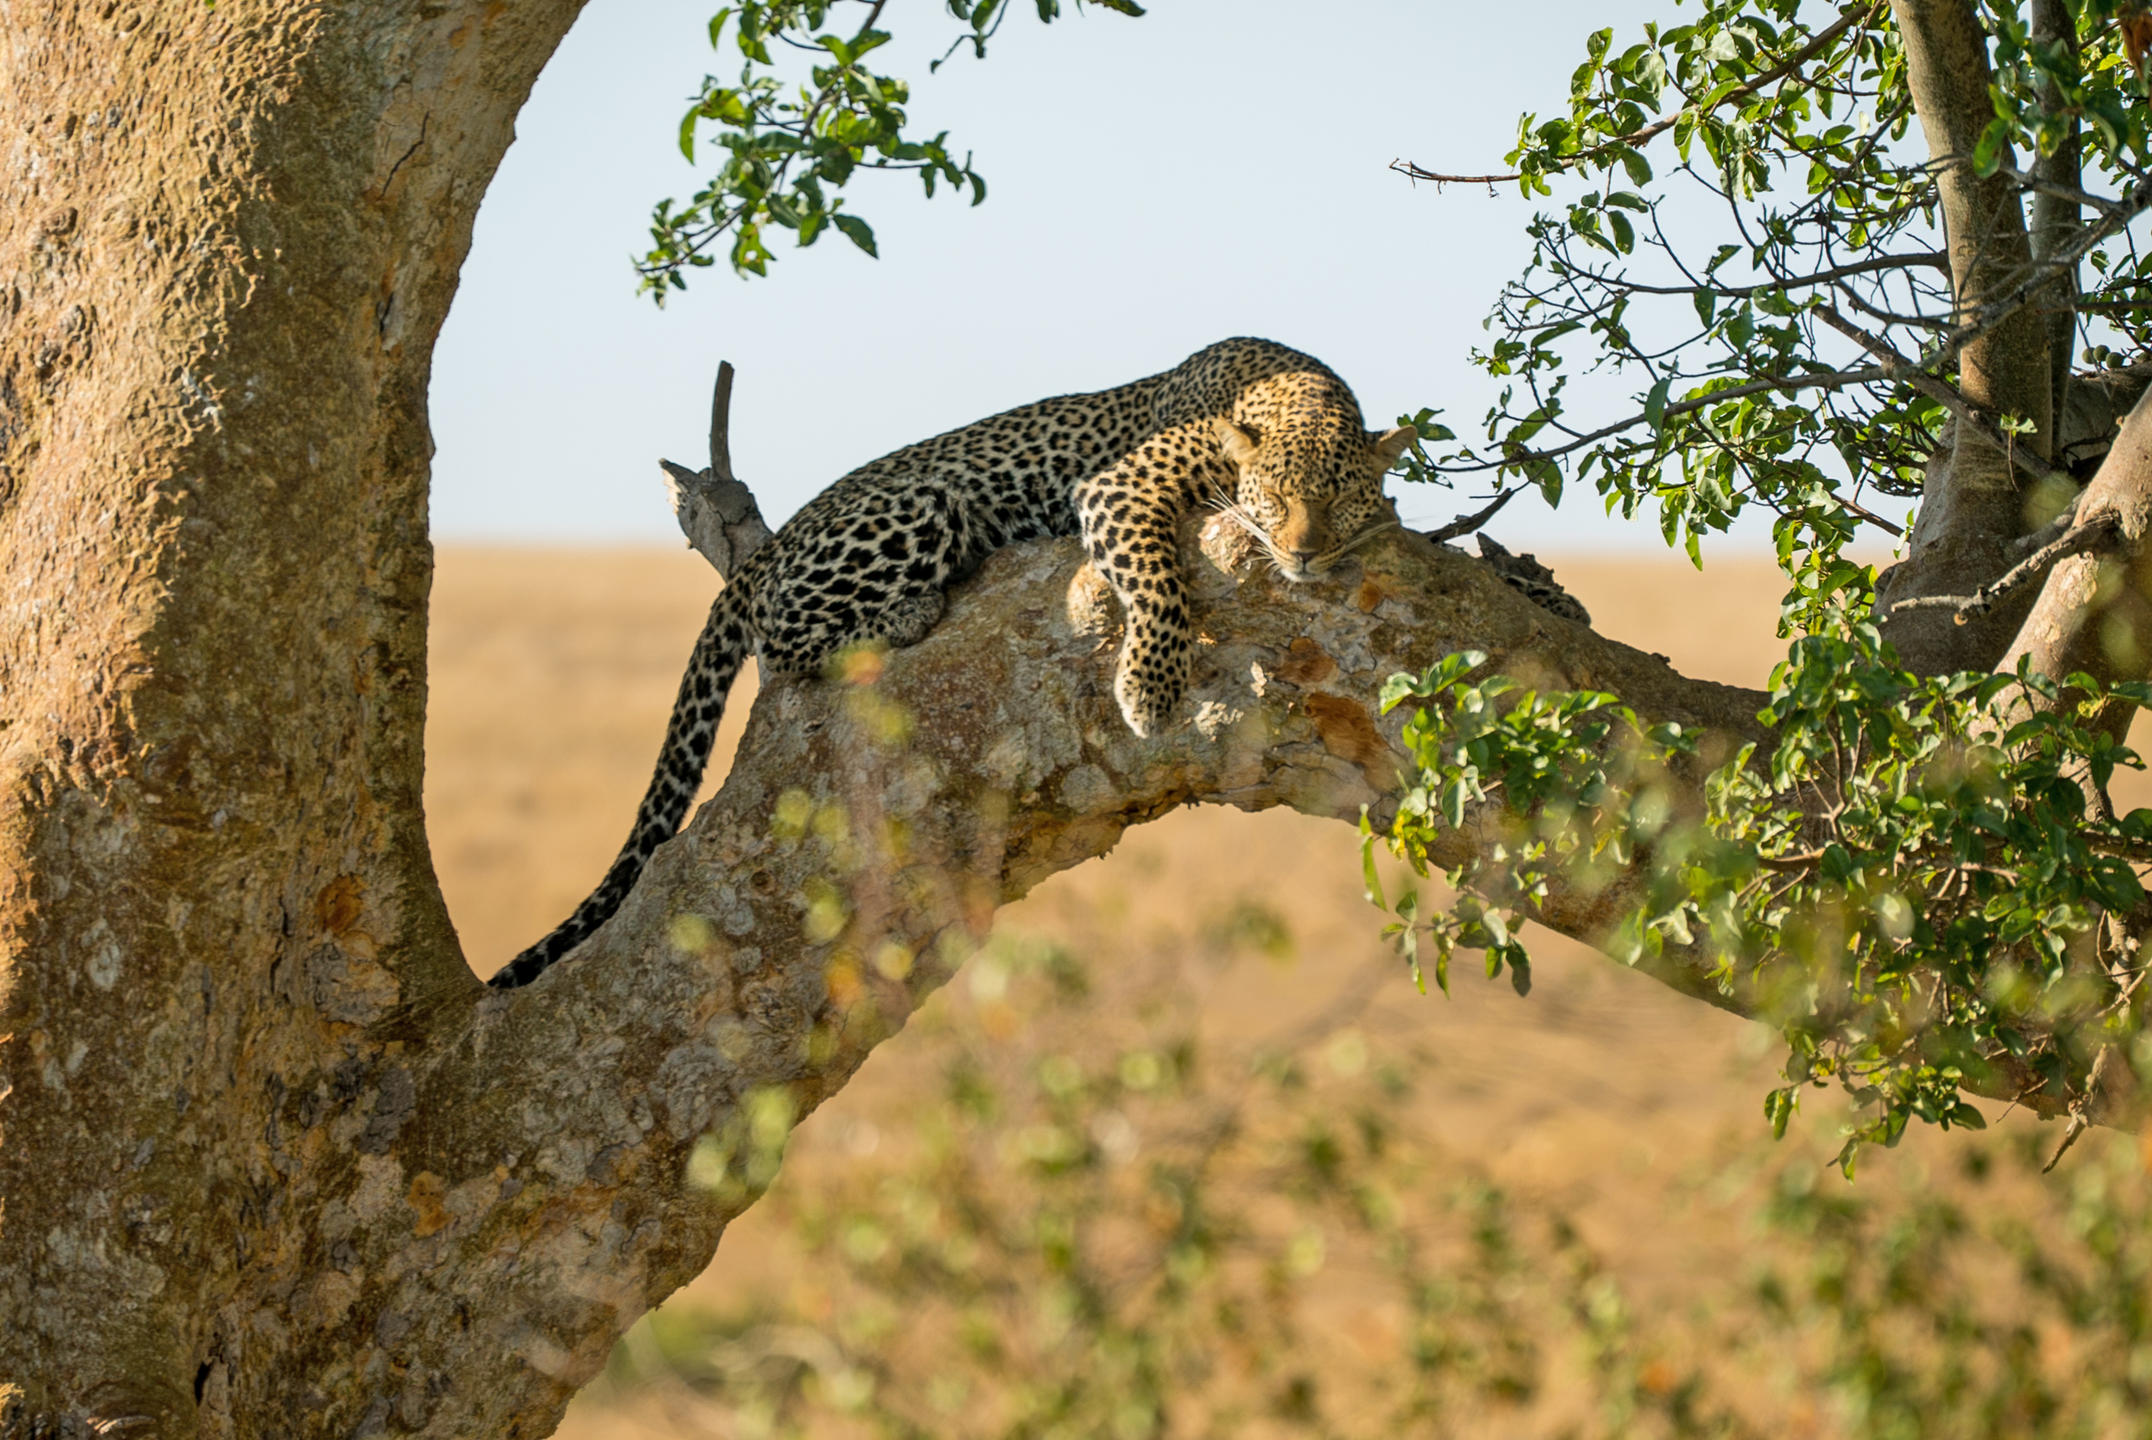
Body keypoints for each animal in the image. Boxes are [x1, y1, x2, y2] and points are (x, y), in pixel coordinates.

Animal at [487, 337, 1416, 989]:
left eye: (1338, 497)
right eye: (1278, 497)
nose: (1303, 551)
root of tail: (786, 532)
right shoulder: (1119, 487)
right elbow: (1158, 579)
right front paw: (1150, 688)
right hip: (919, 505)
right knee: (782, 641)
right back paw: (905, 612)